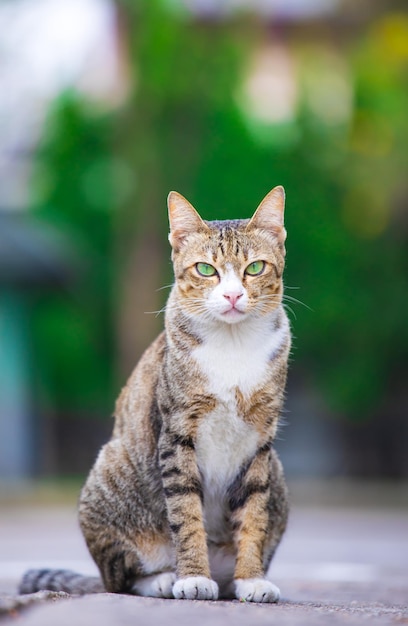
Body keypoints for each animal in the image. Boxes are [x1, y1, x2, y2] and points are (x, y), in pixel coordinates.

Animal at [20, 184, 292, 600]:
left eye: (256, 268)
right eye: (206, 269)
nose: (232, 296)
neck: (233, 344)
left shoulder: (261, 441)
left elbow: (254, 515)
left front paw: (252, 579)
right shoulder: (176, 430)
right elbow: (186, 512)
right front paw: (193, 577)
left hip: (278, 475)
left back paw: (229, 580)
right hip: (110, 474)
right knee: (121, 579)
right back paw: (165, 579)